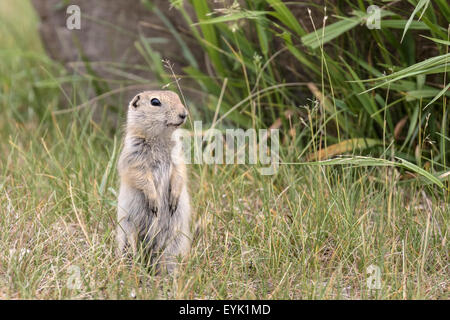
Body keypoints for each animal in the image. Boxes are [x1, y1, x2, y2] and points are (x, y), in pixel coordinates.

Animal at [116, 90, 192, 272]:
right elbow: (140, 176)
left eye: (177, 96)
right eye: (155, 102)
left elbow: (180, 173)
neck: (159, 139)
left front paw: (173, 200)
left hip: (176, 241)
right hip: (127, 232)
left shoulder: (178, 156)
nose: (184, 114)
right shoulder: (134, 156)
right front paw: (154, 201)